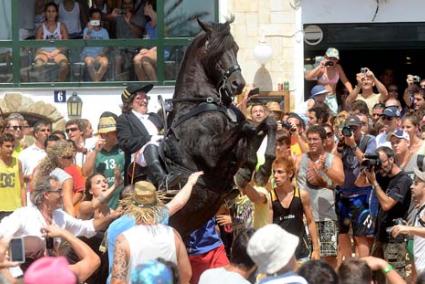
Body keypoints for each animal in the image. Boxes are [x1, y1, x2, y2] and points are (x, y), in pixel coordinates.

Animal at [164, 17, 276, 239]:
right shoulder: (211, 154)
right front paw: (248, 170)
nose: (237, 84)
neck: (201, 102)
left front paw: (260, 170)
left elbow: (263, 125)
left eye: (236, 47)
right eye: (215, 50)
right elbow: (245, 127)